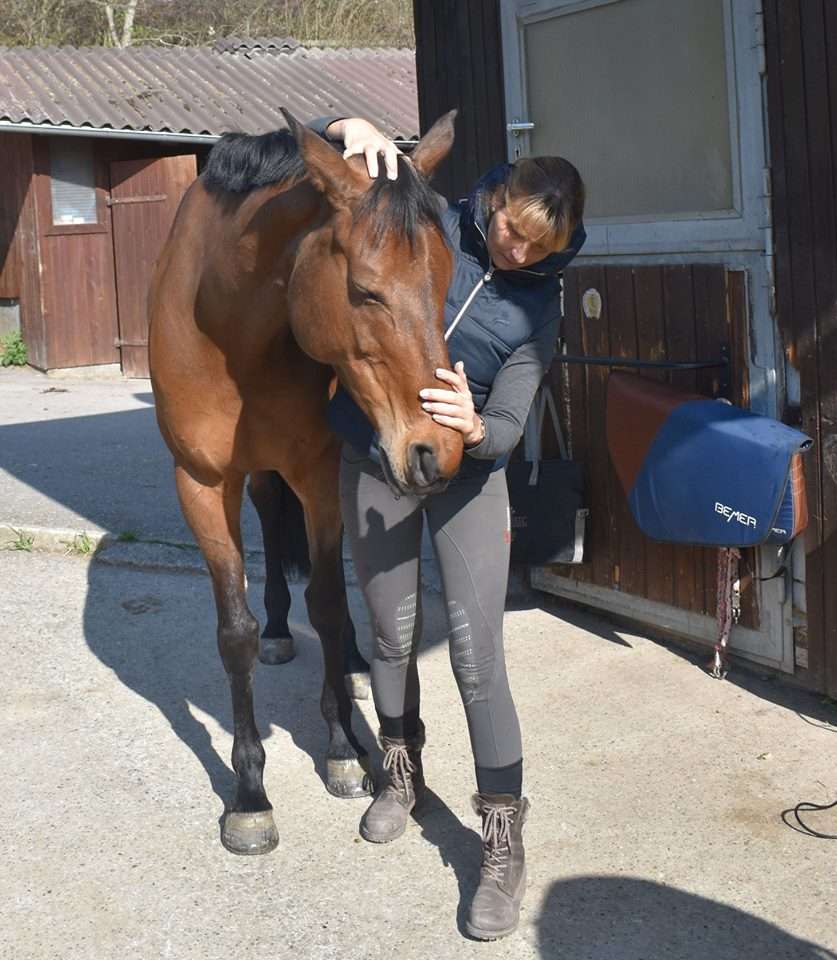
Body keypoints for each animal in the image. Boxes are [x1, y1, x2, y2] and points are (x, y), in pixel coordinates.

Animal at [147, 110, 460, 856]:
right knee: (266, 518)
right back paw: (279, 632)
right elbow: (233, 631)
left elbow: (328, 601)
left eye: (445, 282)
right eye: (366, 291)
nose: (439, 450)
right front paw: (249, 794)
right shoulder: (201, 484)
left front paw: (344, 747)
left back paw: (351, 665)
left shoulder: (317, 473)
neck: (229, 325)